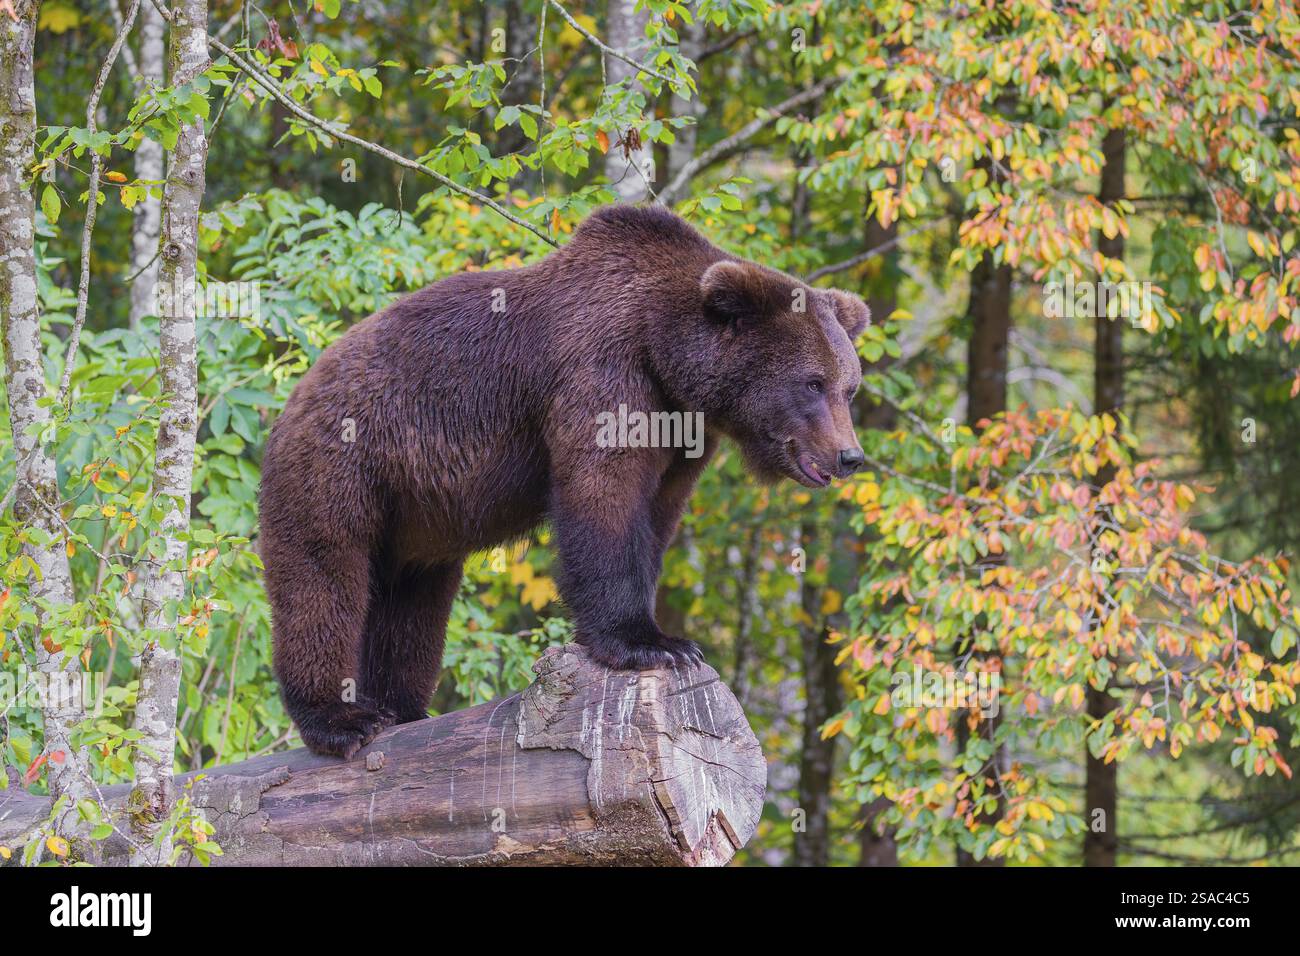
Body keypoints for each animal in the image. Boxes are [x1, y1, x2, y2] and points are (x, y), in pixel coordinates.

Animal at [259, 204, 870, 757]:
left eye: (849, 386)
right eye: (812, 382)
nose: (849, 456)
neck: (663, 354)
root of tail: (292, 395)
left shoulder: (682, 438)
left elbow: (656, 517)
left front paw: (661, 635)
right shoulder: (602, 374)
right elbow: (603, 497)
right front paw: (650, 643)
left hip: (414, 521)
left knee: (411, 604)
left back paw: (403, 708)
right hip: (343, 466)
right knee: (323, 574)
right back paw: (342, 719)